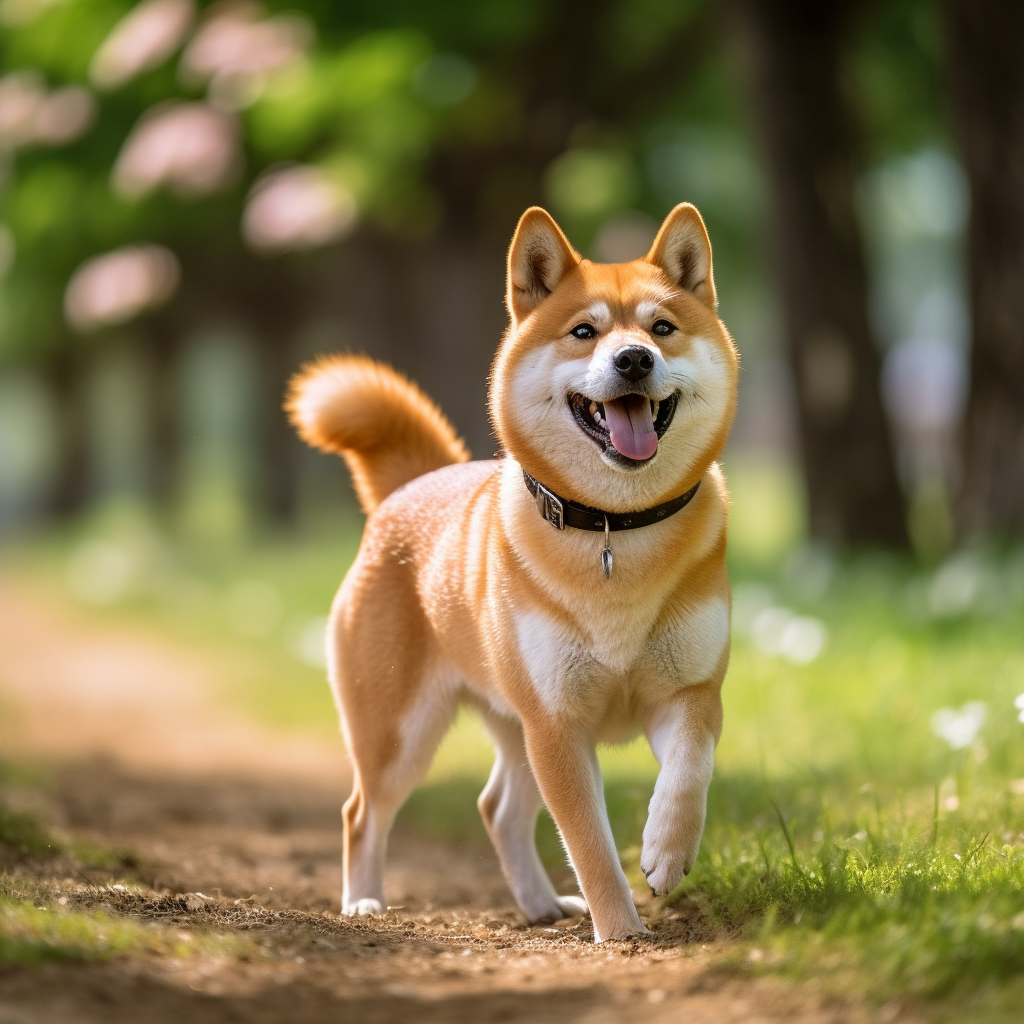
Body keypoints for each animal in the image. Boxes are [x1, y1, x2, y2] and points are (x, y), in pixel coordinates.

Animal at [286, 201, 737, 942]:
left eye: (662, 328)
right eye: (584, 331)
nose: (634, 357)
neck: (613, 533)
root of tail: (414, 485)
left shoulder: (689, 693)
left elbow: (690, 773)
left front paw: (666, 852)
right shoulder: (556, 724)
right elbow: (589, 843)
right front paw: (621, 931)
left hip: (513, 724)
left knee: (496, 809)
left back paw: (539, 904)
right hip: (403, 732)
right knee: (362, 811)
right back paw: (364, 902)